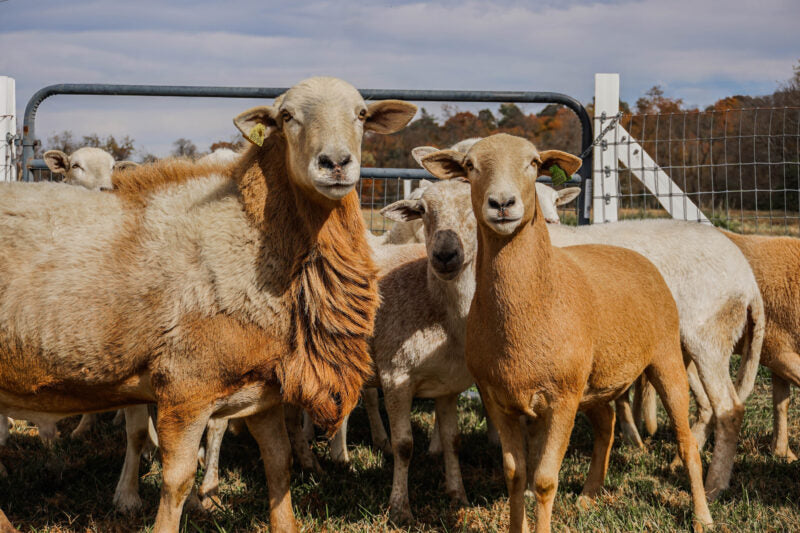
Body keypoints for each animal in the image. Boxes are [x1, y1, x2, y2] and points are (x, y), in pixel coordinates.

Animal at [0, 76, 417, 533]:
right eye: (287, 116)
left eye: (361, 115)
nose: (336, 163)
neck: (251, 232)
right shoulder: (185, 387)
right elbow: (176, 482)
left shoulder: (262, 389)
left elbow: (279, 465)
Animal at [421, 133, 712, 533]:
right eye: (469, 166)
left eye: (533, 163)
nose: (502, 203)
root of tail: (634, 255)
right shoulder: (499, 399)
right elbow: (515, 474)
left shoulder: (561, 399)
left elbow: (544, 480)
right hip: (594, 382)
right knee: (606, 426)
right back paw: (590, 494)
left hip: (664, 357)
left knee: (686, 442)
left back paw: (702, 516)